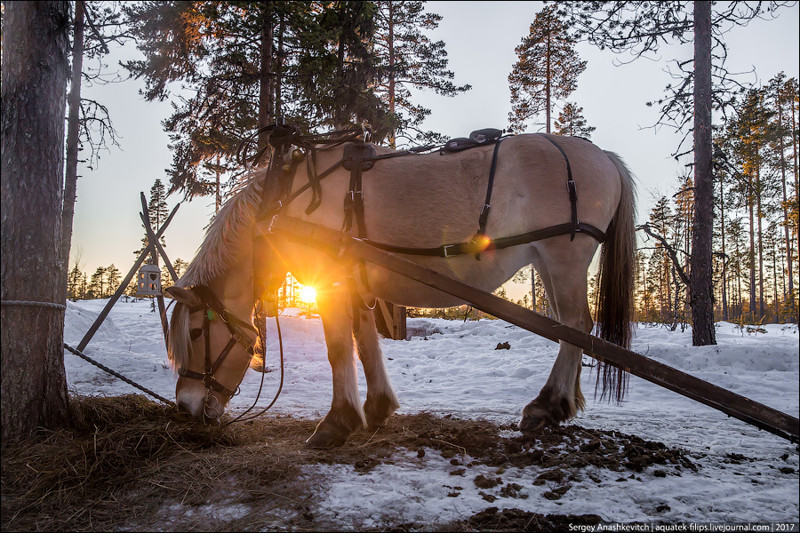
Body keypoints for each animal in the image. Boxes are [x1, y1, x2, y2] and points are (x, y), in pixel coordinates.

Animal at [164, 130, 636, 448]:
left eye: (196, 333)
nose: (185, 407)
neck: (284, 204)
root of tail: (605, 156)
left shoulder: (328, 278)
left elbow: (339, 348)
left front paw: (337, 421)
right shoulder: (354, 280)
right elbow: (365, 341)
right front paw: (377, 407)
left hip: (563, 256)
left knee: (575, 326)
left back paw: (547, 404)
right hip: (548, 262)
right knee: (572, 329)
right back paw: (563, 403)